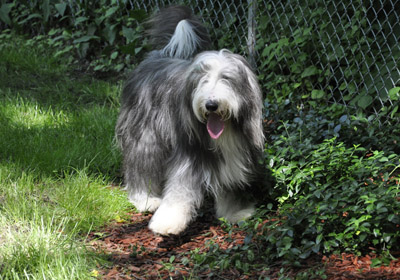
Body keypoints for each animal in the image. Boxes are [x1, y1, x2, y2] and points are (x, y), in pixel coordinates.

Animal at [115, 5, 266, 235]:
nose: (211, 104)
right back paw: (146, 199)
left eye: (226, 78)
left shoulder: (234, 154)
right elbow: (179, 189)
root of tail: (157, 57)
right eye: (202, 79)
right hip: (146, 134)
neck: (224, 134)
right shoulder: (188, 152)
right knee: (141, 164)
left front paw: (235, 213)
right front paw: (167, 222)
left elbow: (229, 185)